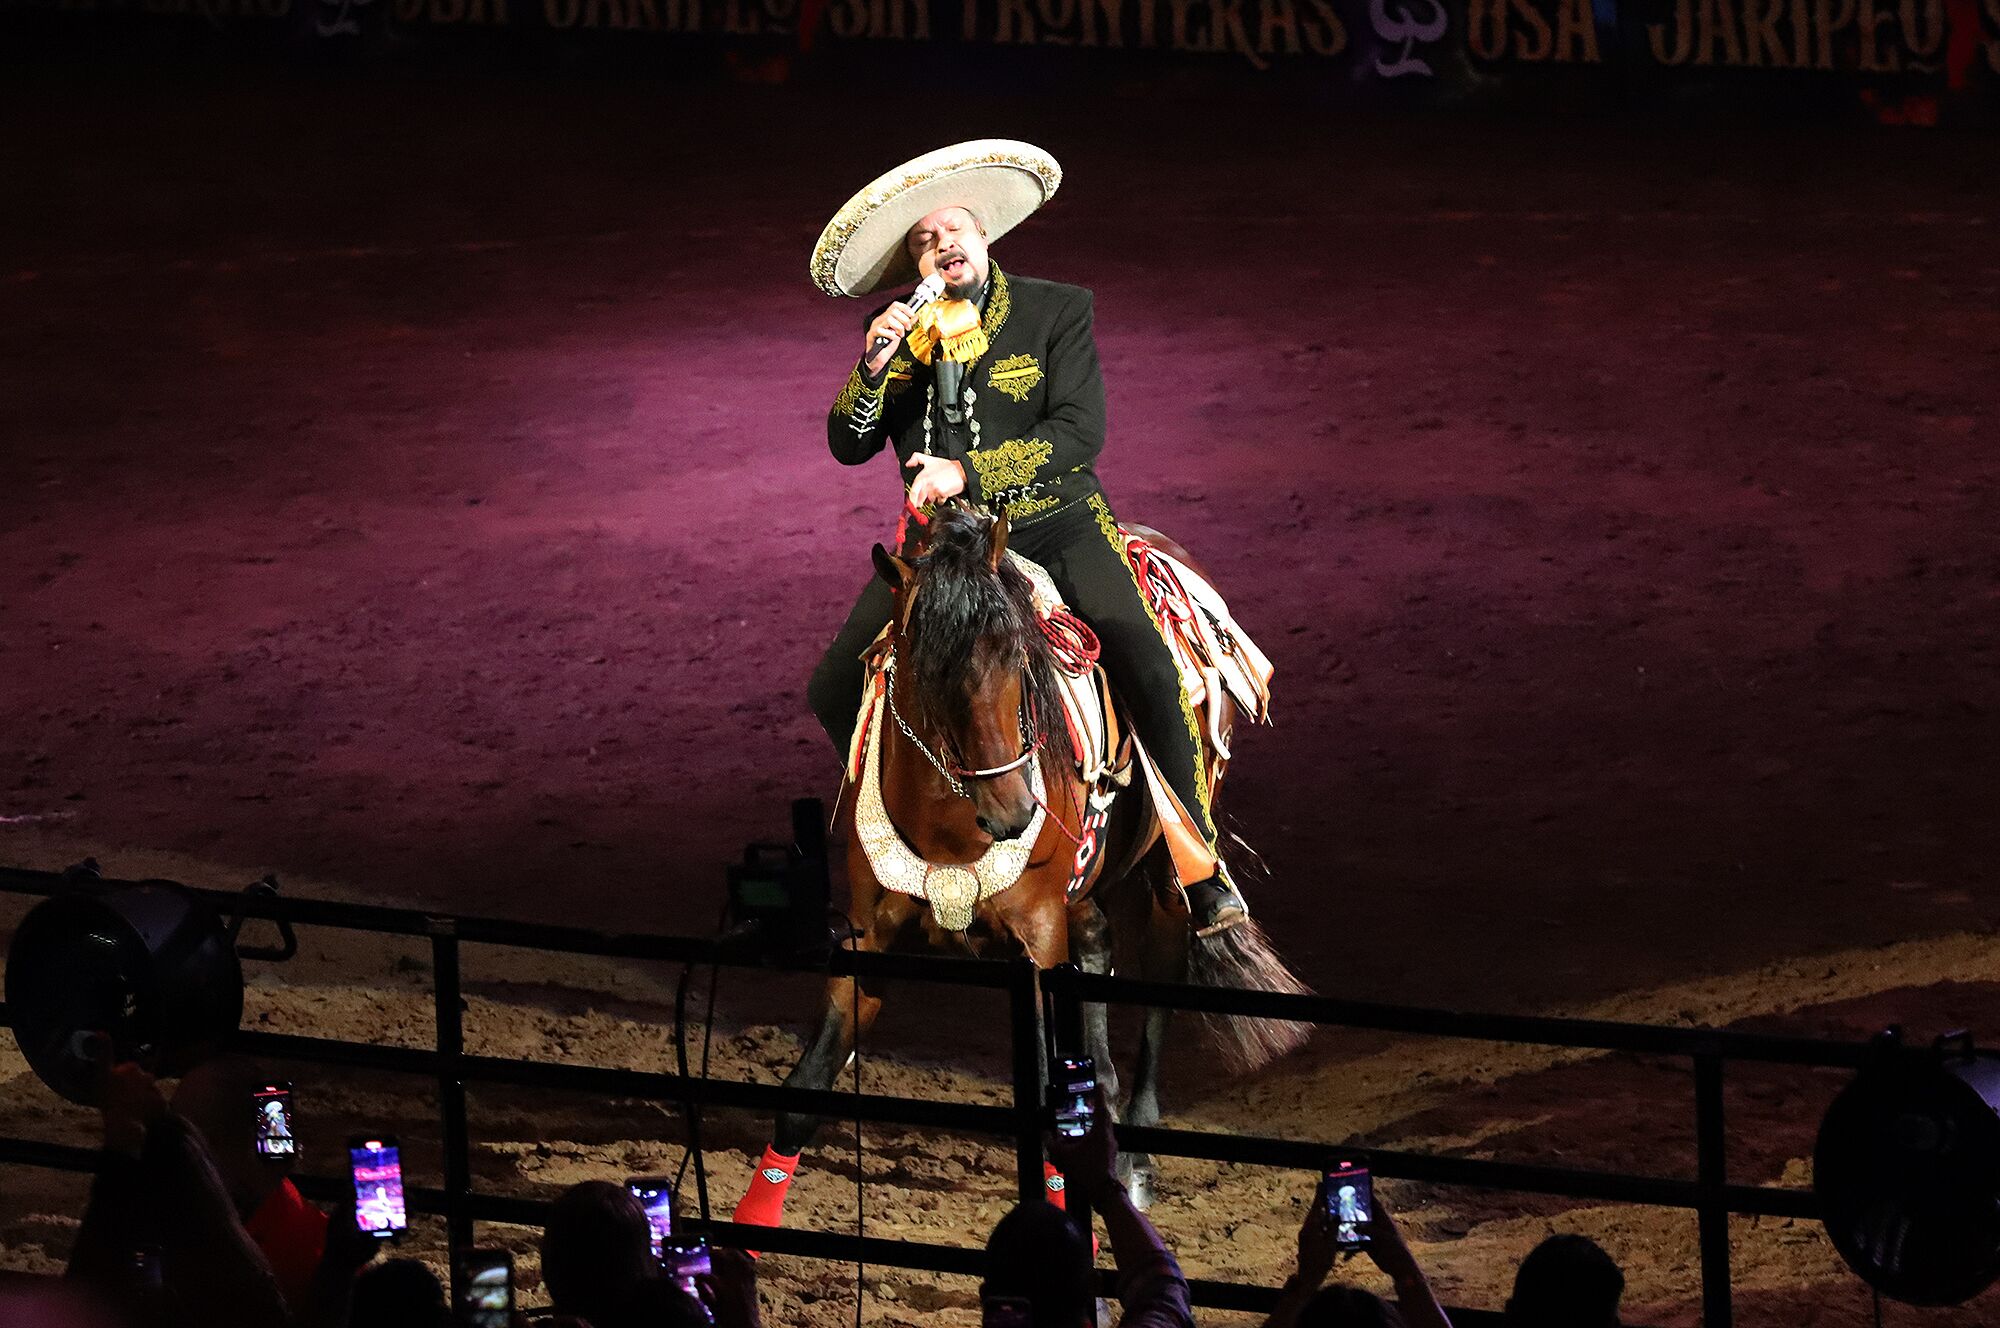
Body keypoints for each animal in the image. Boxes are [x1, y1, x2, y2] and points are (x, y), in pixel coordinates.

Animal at [744, 500, 1304, 1216]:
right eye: (925, 670)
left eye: (1018, 655)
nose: (1013, 810)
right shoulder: (869, 938)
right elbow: (805, 1087)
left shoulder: (1036, 938)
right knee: (1096, 948)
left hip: (1167, 871)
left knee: (1163, 969)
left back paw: (1138, 1163)